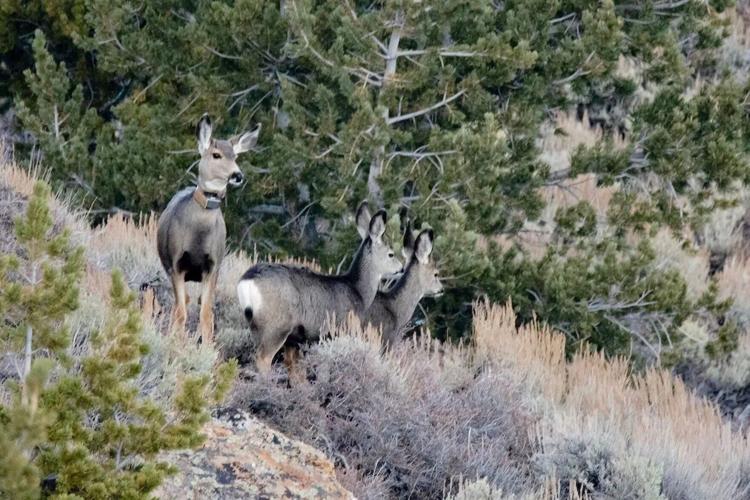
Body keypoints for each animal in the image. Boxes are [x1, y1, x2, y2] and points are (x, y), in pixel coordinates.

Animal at [159, 113, 262, 342]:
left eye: (235, 156)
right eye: (216, 155)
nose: (237, 175)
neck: (198, 237)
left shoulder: (213, 266)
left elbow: (206, 313)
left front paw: (207, 347)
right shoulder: (176, 264)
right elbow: (181, 310)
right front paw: (177, 344)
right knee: (181, 304)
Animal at [239, 201, 406, 374]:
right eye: (391, 254)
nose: (401, 268)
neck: (358, 291)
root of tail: (247, 281)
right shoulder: (343, 328)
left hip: (256, 326)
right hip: (277, 326)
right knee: (263, 359)